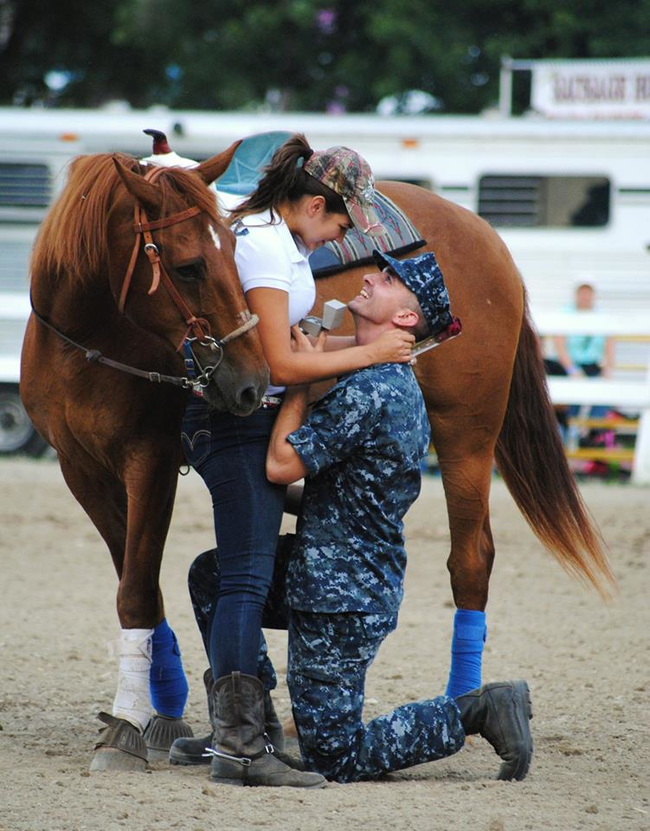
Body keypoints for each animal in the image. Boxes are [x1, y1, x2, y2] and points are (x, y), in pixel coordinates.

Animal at [20, 145, 268, 772]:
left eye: (235, 249)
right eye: (188, 267)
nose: (254, 383)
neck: (88, 344)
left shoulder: (151, 463)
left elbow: (135, 587)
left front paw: (130, 726)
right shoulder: (80, 469)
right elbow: (136, 585)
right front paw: (154, 708)